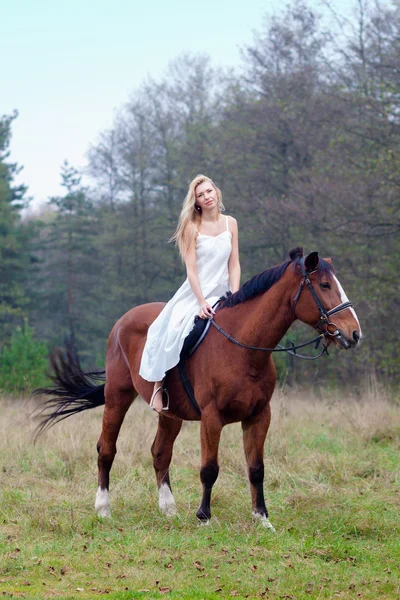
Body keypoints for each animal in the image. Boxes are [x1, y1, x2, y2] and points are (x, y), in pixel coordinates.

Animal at [36, 248, 362, 528]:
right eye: (324, 285)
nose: (354, 333)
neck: (243, 349)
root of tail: (123, 321)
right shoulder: (211, 417)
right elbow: (209, 468)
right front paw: (204, 517)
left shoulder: (259, 416)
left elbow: (256, 468)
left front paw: (262, 518)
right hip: (117, 396)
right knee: (107, 449)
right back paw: (103, 509)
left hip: (169, 412)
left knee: (160, 452)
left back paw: (168, 509)